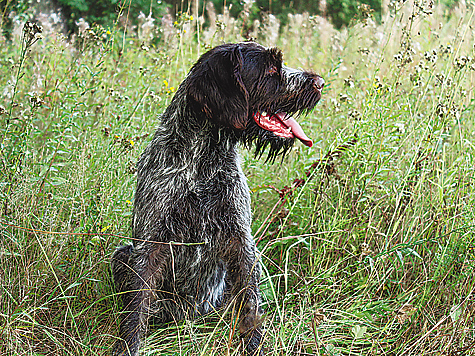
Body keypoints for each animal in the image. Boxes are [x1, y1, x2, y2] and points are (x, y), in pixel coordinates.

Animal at [113, 40, 326, 354]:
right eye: (271, 69)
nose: (320, 83)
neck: (203, 161)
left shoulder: (241, 243)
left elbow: (250, 304)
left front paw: (253, 345)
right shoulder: (149, 245)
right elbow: (136, 309)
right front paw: (128, 346)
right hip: (123, 255)